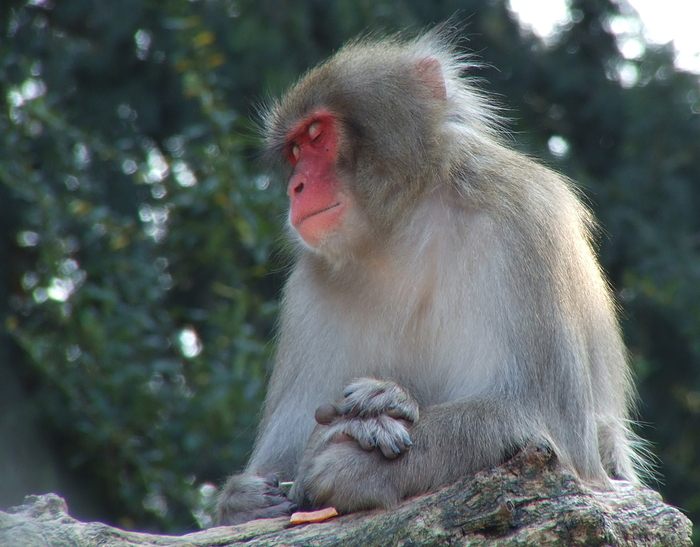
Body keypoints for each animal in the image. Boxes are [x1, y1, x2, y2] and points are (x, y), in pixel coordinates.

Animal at [215, 30, 644, 528]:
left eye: (317, 135)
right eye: (295, 152)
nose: (295, 188)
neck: (403, 223)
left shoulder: (527, 222)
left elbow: (549, 427)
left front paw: (352, 459)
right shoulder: (307, 290)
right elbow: (272, 470)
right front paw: (244, 497)